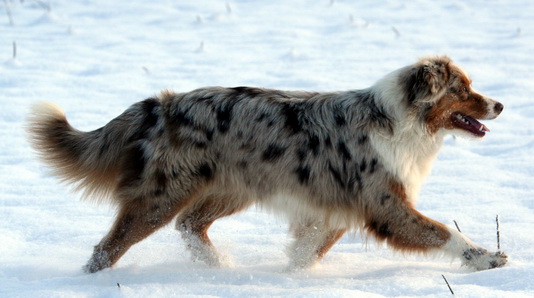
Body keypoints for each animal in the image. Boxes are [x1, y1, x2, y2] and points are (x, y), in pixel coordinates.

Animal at [27, 55, 508, 272]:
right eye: (463, 89)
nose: (500, 105)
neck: (401, 120)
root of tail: (161, 105)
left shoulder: (337, 208)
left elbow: (308, 250)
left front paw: (293, 277)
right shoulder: (385, 206)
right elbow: (444, 232)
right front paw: (487, 258)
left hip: (233, 188)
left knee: (190, 225)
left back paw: (218, 270)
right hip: (161, 196)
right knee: (107, 248)